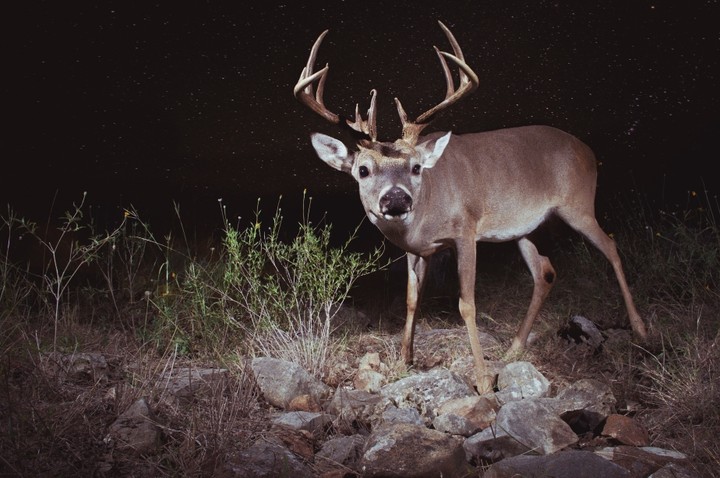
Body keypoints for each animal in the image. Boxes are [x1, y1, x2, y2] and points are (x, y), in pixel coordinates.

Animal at [293, 20, 648, 394]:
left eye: (416, 167)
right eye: (363, 170)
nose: (396, 200)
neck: (426, 216)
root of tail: (589, 151)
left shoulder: (465, 231)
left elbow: (467, 304)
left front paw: (482, 381)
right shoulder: (417, 250)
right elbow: (411, 298)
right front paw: (405, 360)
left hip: (578, 205)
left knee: (610, 246)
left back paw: (641, 330)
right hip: (526, 229)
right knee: (545, 272)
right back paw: (514, 348)